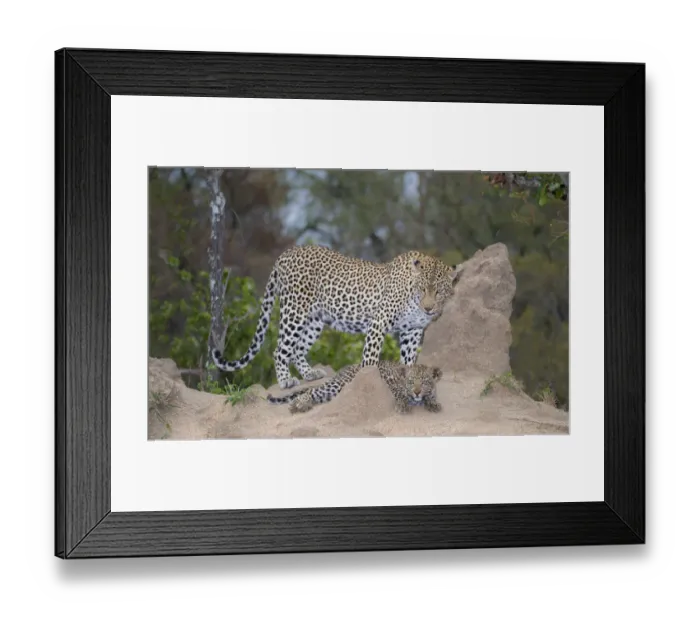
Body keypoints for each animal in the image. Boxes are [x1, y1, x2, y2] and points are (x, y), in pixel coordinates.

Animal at [212, 245, 462, 390]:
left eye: (439, 291)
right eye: (423, 289)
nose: (429, 309)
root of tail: (285, 254)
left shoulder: (412, 330)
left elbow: (409, 360)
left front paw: (410, 378)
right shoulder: (379, 323)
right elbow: (370, 358)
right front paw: (366, 379)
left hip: (314, 320)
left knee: (297, 349)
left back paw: (310, 373)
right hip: (294, 311)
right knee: (280, 349)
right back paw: (285, 380)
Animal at [266, 360, 444, 414]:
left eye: (425, 381)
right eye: (411, 381)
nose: (417, 392)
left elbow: (432, 394)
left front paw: (433, 402)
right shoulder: (390, 381)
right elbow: (399, 394)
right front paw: (402, 404)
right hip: (338, 385)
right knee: (311, 390)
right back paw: (300, 404)